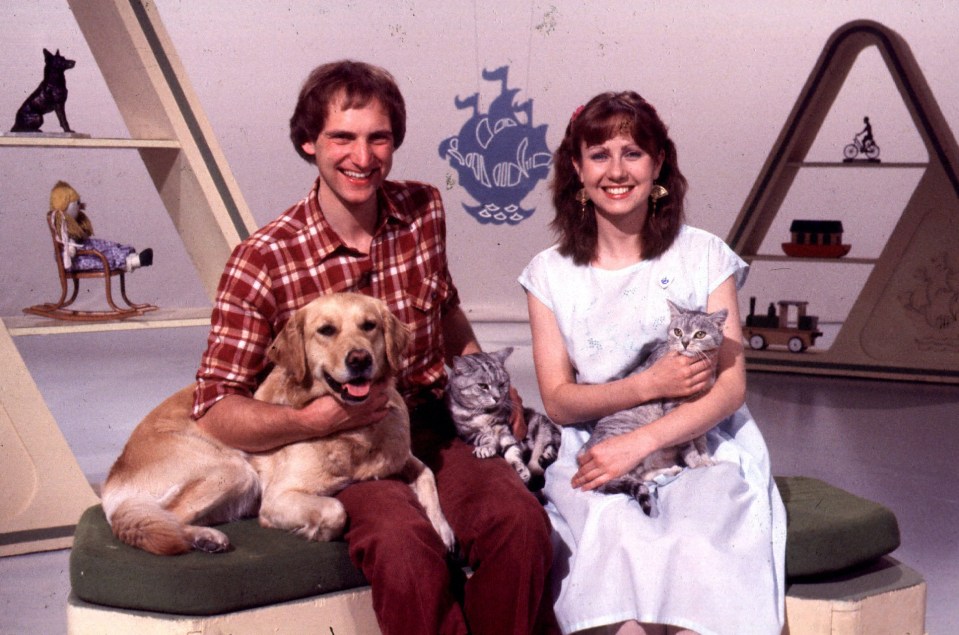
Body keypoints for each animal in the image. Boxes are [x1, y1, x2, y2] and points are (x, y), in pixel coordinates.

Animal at [101, 294, 458, 556]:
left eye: (369, 325)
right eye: (326, 330)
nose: (359, 359)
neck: (355, 432)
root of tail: (115, 474)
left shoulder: (403, 459)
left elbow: (427, 475)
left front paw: (442, 528)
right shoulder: (278, 497)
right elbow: (335, 509)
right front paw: (313, 530)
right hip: (234, 471)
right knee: (167, 519)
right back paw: (204, 537)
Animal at [448, 348, 564, 486]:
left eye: (502, 384)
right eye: (483, 386)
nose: (497, 398)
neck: (483, 413)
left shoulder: (504, 428)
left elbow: (511, 448)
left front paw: (520, 468)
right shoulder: (469, 434)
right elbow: (485, 438)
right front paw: (486, 448)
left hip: (545, 430)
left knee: (552, 449)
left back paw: (544, 457)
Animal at [584, 300, 728, 516]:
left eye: (700, 334)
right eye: (677, 331)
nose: (685, 342)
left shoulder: (699, 411)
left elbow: (701, 441)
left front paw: (706, 458)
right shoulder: (673, 408)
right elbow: (689, 446)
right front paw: (697, 462)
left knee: (642, 475)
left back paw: (671, 470)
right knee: (633, 477)